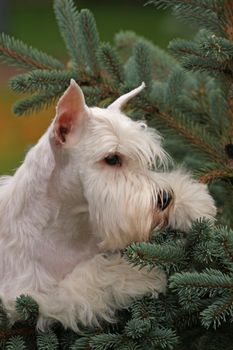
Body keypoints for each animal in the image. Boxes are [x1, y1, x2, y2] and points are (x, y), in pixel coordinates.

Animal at [0, 80, 215, 330]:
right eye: (112, 159)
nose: (166, 199)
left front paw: (194, 201)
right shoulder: (34, 295)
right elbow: (98, 273)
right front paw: (143, 272)